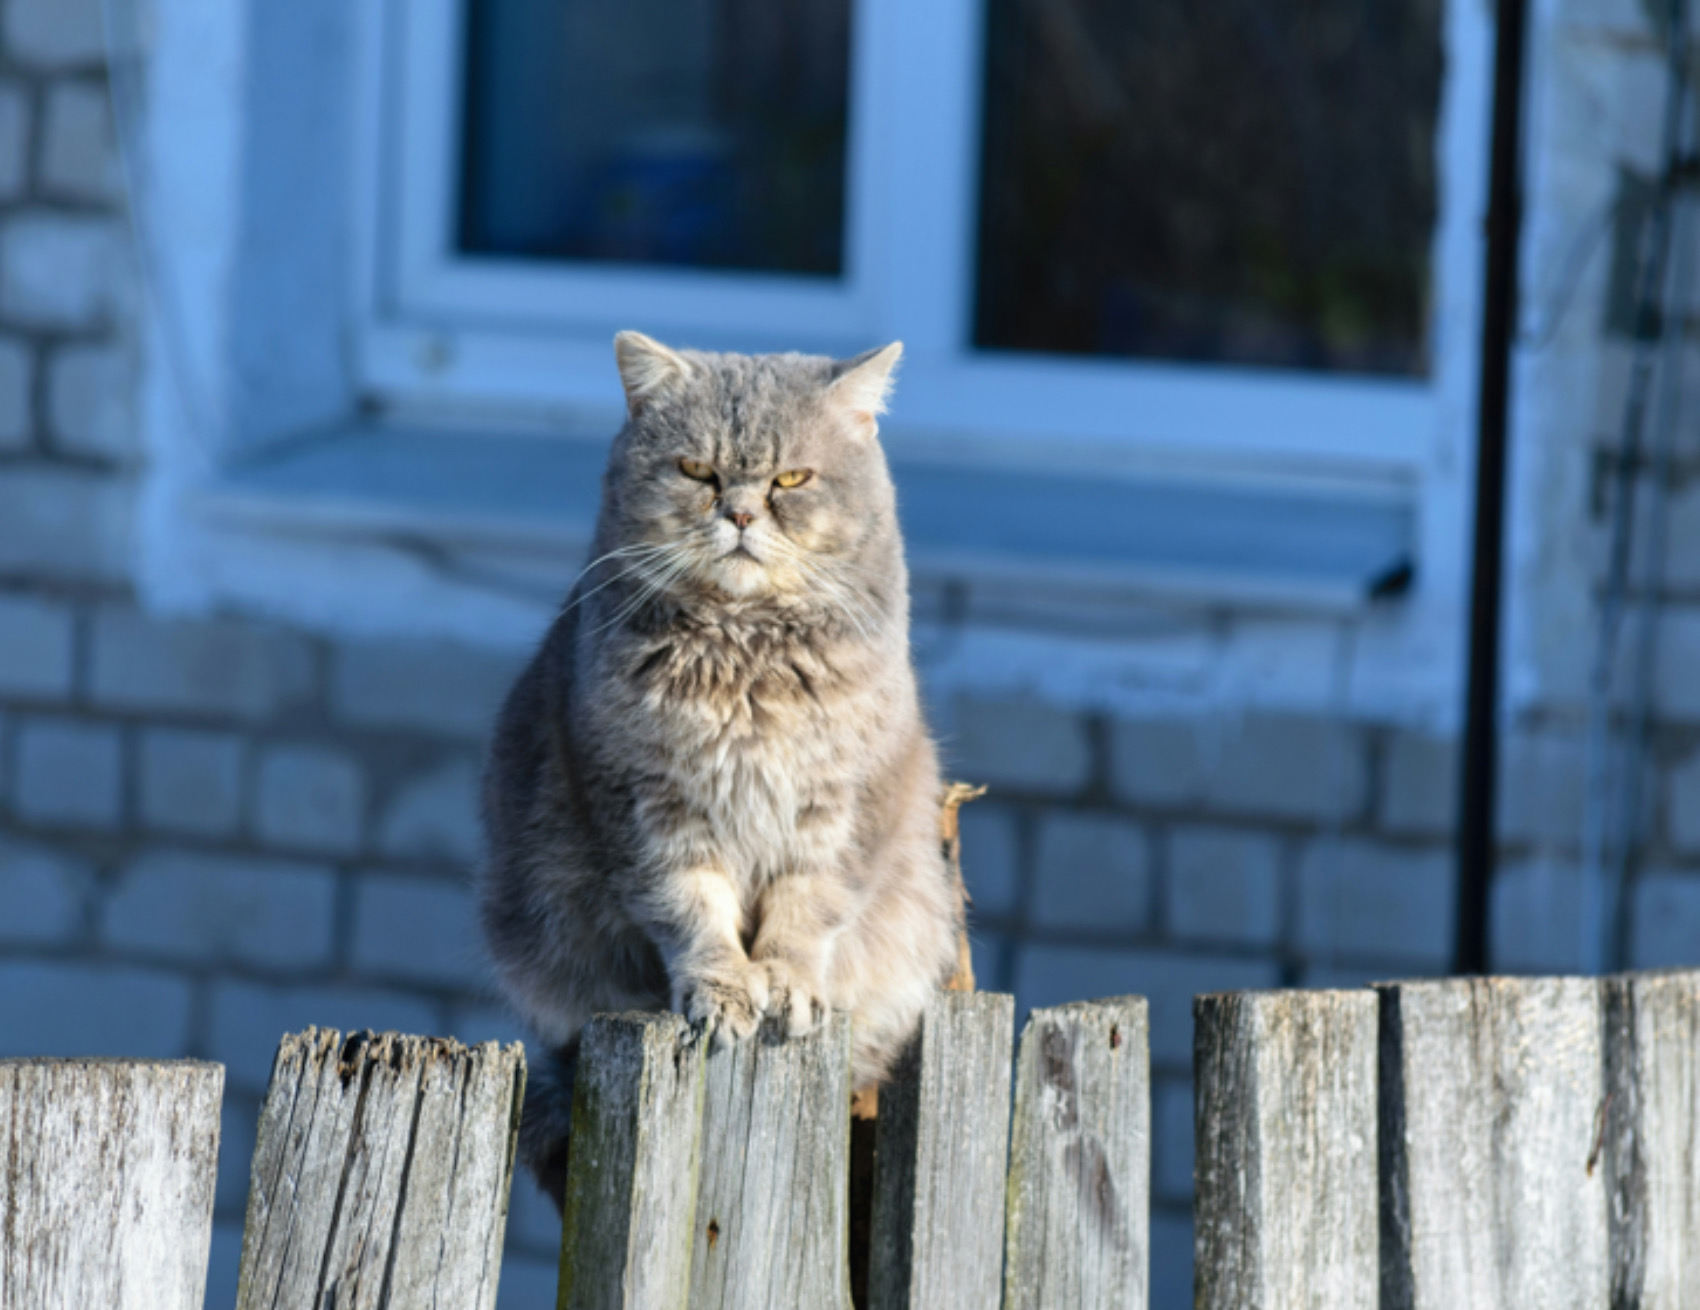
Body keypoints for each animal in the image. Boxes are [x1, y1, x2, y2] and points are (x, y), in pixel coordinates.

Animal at [479, 333, 965, 1202]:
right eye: (696, 471)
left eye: (791, 479)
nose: (738, 513)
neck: (745, 653)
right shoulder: (647, 809)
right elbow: (690, 910)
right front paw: (723, 986)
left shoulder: (840, 812)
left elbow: (807, 911)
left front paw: (784, 982)